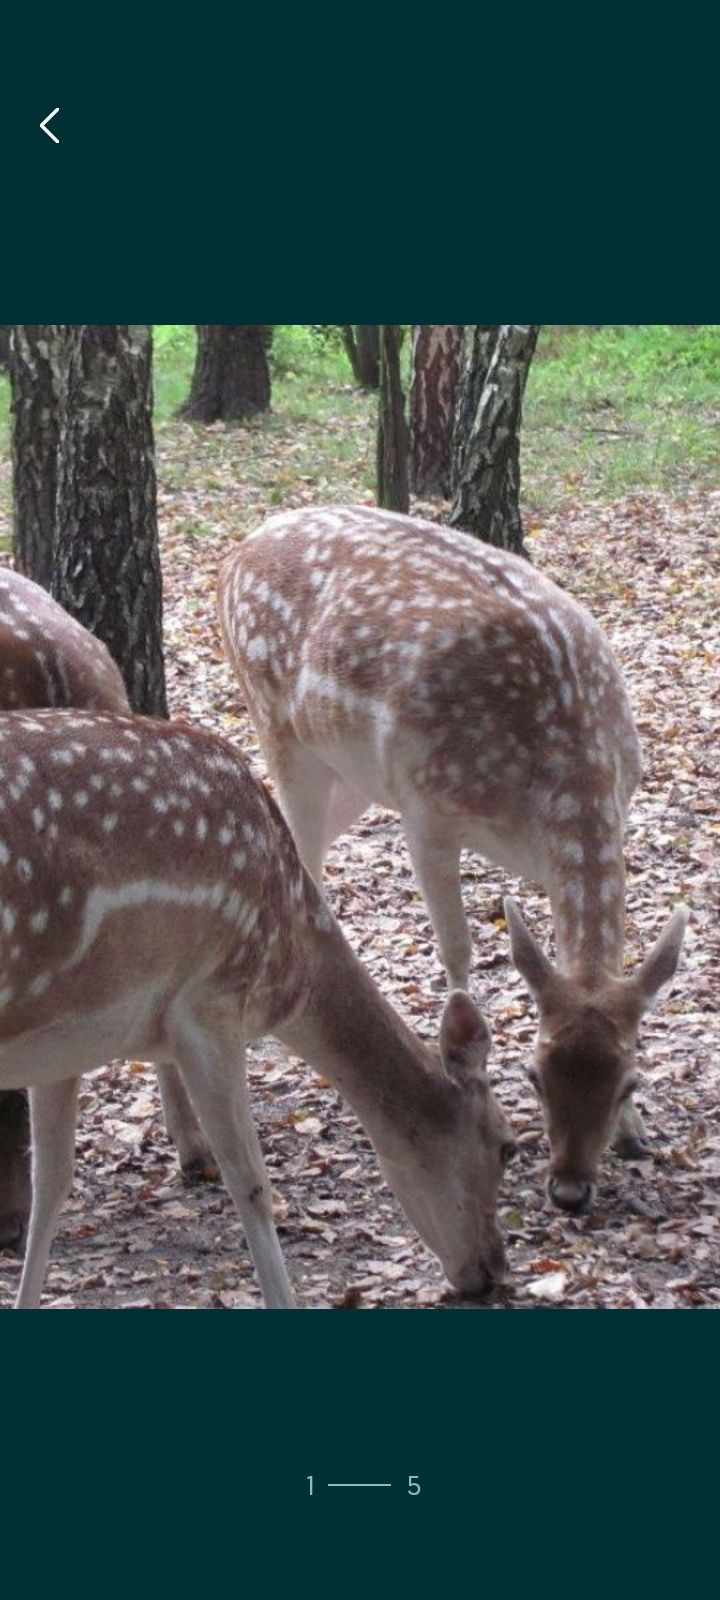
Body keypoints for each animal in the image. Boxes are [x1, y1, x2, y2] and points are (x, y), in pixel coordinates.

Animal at [0, 707, 518, 1305]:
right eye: (507, 1146)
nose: (494, 1270)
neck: (289, 965)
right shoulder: (210, 1000)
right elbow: (250, 1180)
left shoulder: (64, 1042)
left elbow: (51, 1185)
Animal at [216, 502, 688, 1209]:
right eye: (534, 1073)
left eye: (630, 1079)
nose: (569, 1190)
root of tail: (237, 551)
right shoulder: (426, 809)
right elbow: (458, 950)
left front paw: (633, 1133)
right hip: (279, 726)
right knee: (300, 854)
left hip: (351, 775)